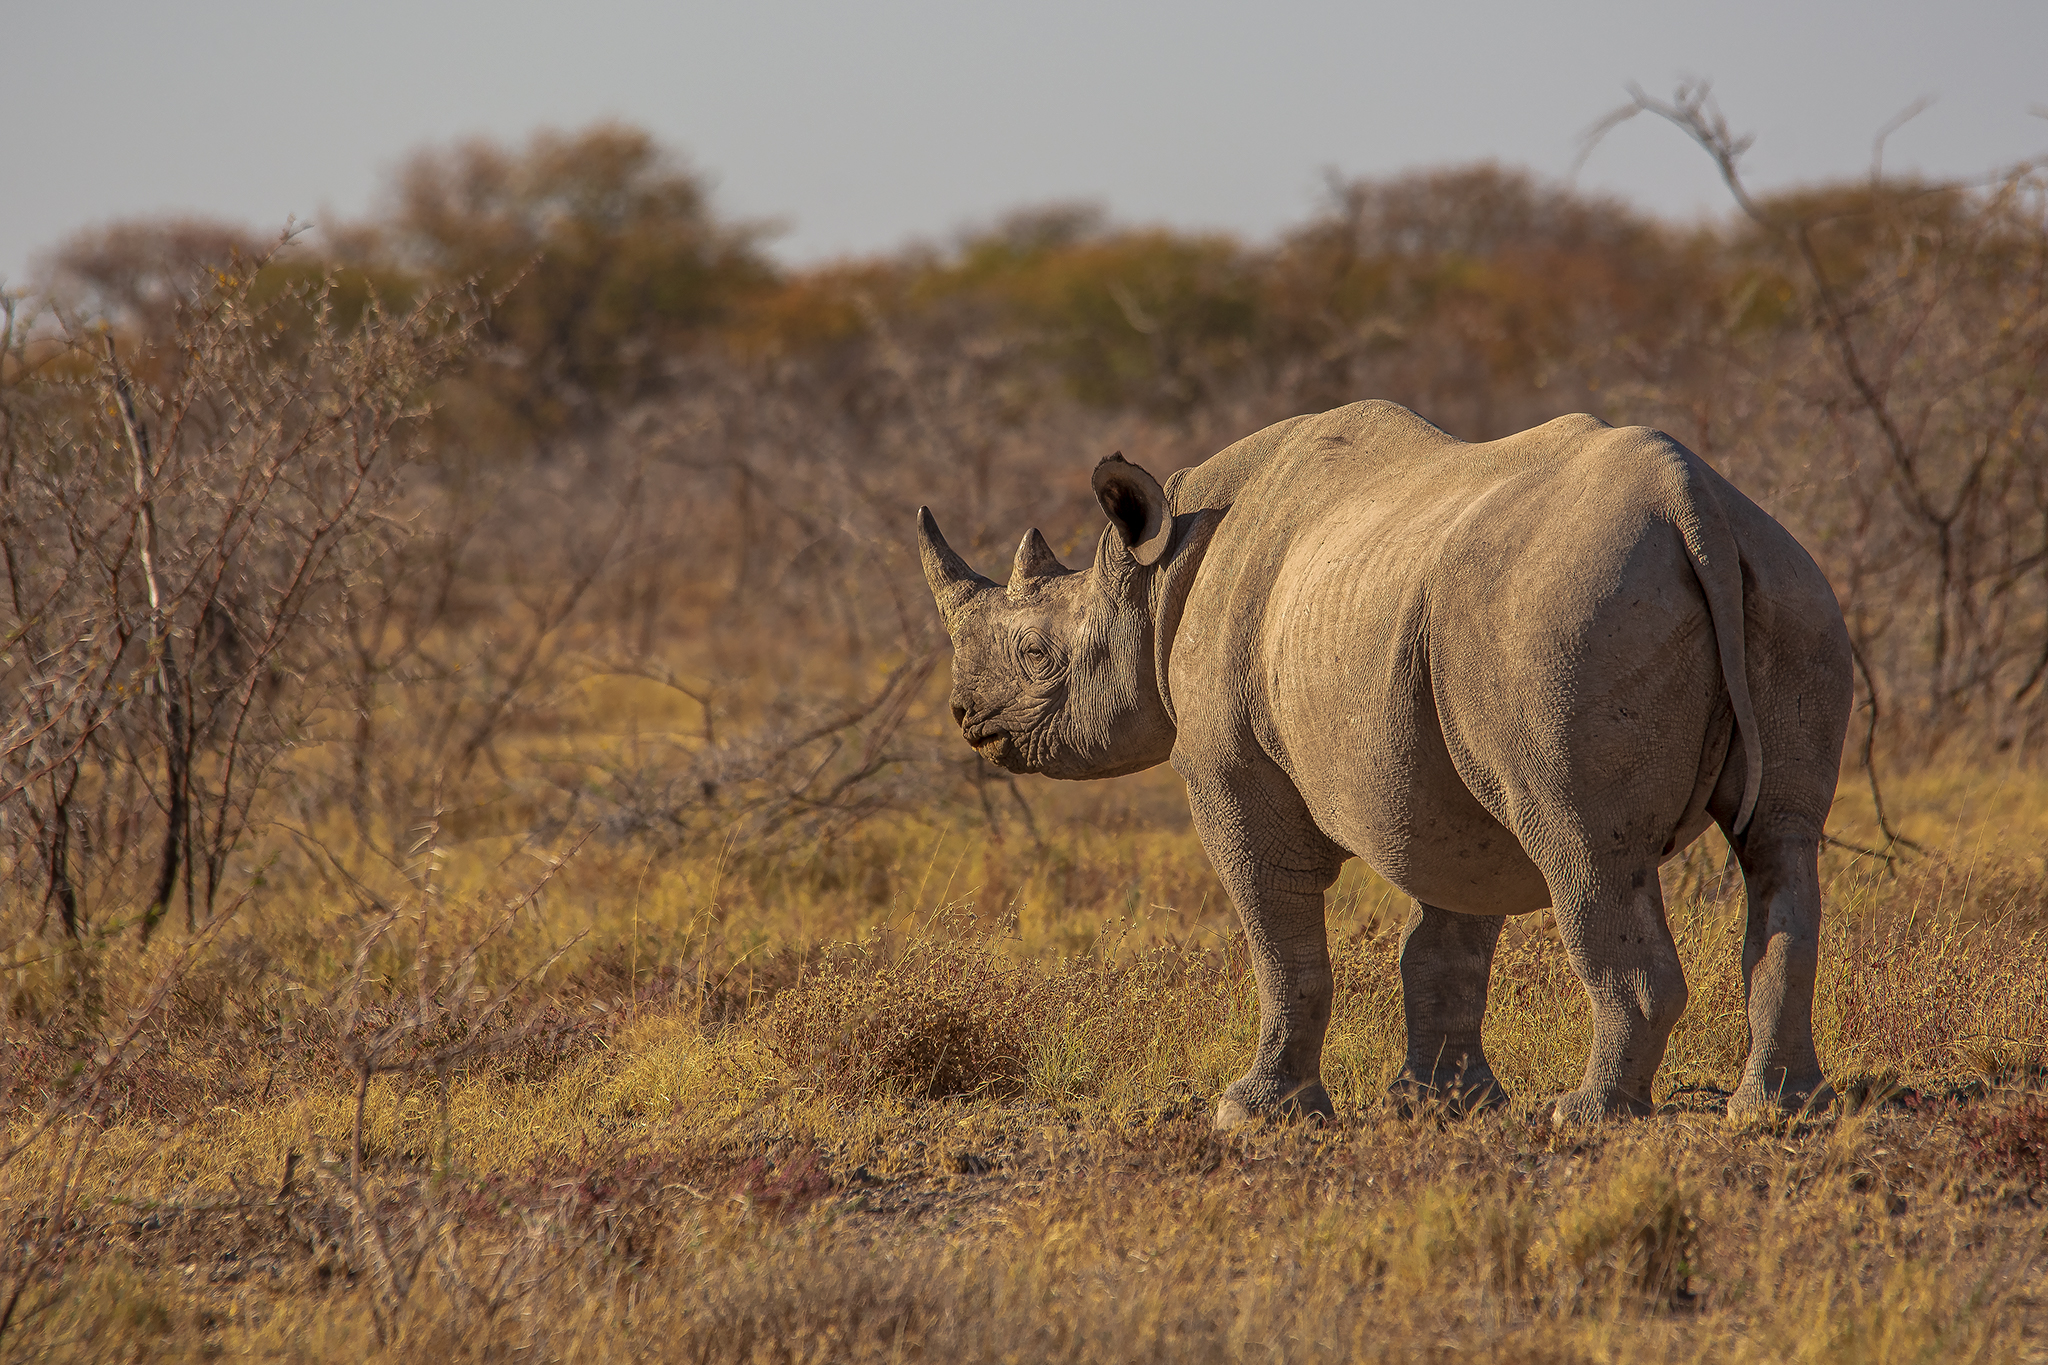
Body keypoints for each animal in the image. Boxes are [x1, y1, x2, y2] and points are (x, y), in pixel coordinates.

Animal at [917, 401, 1851, 1128]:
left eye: (1037, 653)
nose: (967, 718)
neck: (1158, 576)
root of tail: (1692, 501)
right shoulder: (1448, 780)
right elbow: (1445, 938)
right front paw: (1438, 1104)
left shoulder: (1230, 772)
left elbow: (1279, 937)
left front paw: (1254, 1111)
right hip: (1787, 582)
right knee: (1781, 840)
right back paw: (1779, 1109)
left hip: (1566, 620)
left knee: (1588, 850)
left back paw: (1589, 1115)